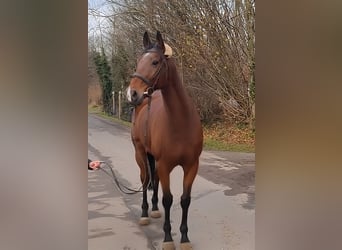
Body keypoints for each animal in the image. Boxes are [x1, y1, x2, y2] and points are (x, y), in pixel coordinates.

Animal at [126, 31, 202, 250]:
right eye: (138, 61)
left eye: (155, 61)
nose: (132, 93)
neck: (180, 122)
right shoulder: (165, 164)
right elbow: (168, 199)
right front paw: (168, 238)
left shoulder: (191, 166)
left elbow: (185, 199)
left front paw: (184, 238)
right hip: (140, 154)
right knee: (144, 180)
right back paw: (145, 213)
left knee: (154, 179)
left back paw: (153, 209)